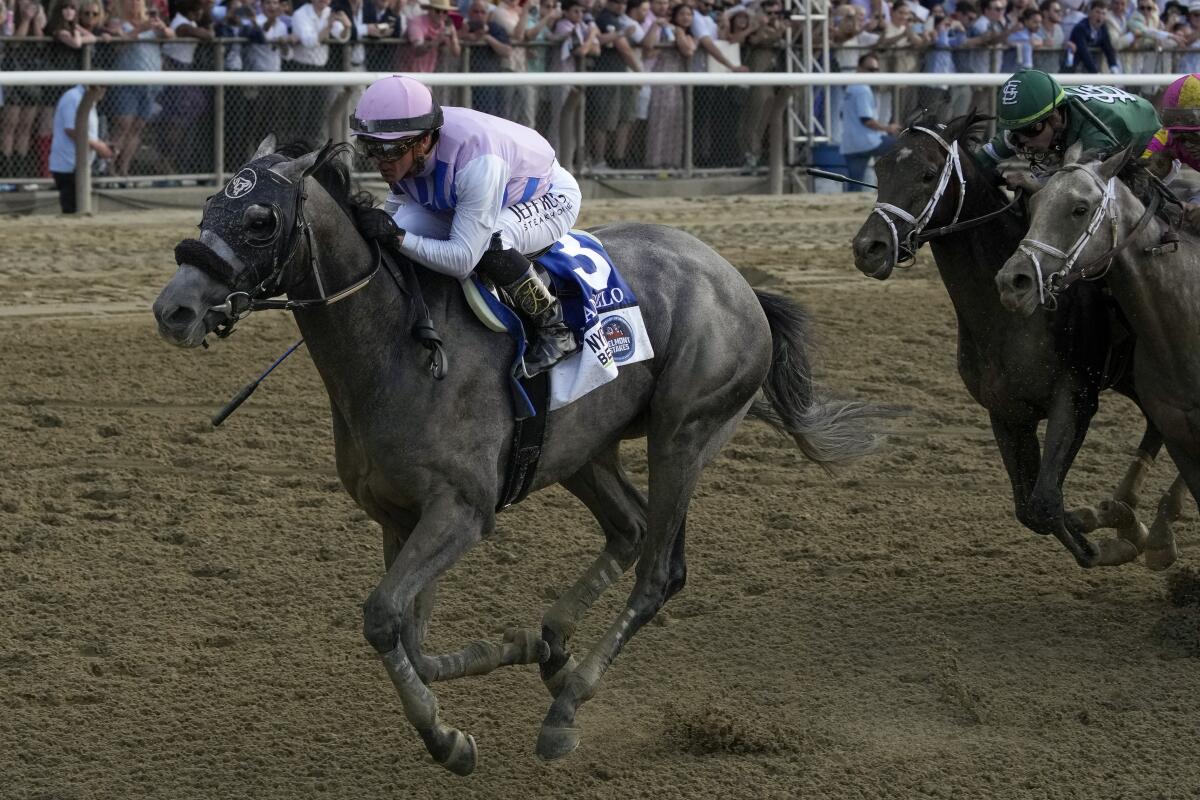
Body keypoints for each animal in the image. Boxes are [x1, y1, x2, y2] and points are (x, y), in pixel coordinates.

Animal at [152, 142, 892, 777]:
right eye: (207, 207)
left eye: (260, 219)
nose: (173, 309)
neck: (397, 347)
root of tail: (738, 282)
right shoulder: (398, 515)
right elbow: (410, 636)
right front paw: (514, 650)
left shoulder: (461, 511)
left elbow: (383, 616)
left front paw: (446, 738)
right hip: (583, 448)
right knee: (628, 527)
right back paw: (556, 645)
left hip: (685, 433)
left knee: (659, 571)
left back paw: (566, 708)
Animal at [854, 112, 1171, 568]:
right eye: (879, 170)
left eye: (928, 173)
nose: (868, 248)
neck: (1010, 317)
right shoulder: (1006, 412)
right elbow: (1030, 508)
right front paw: (1110, 529)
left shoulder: (1075, 397)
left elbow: (1045, 502)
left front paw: (1106, 544)